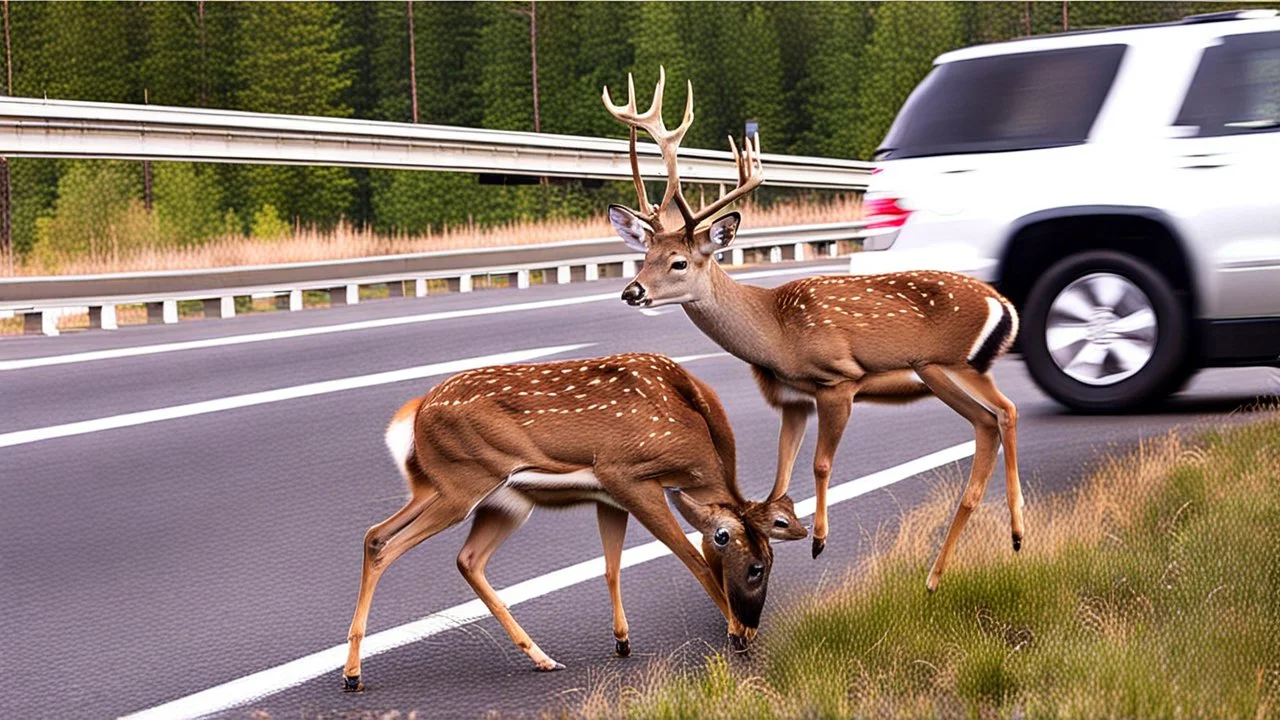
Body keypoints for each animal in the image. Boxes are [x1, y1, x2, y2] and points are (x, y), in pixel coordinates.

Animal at [340, 351, 798, 691]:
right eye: (757, 568)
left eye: (770, 562)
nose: (752, 627)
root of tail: (414, 414)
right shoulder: (627, 474)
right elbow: (694, 560)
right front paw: (735, 635)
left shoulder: (609, 497)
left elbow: (612, 566)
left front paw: (622, 641)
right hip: (462, 483)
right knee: (386, 543)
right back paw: (352, 675)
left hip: (474, 496)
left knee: (429, 548)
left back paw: (541, 657)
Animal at [604, 70, 1024, 591]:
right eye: (645, 256)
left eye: (678, 261)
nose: (632, 292)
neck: (776, 332)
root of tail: (1003, 305)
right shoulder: (792, 399)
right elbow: (780, 476)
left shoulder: (838, 379)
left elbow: (820, 463)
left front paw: (820, 540)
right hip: (952, 372)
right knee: (993, 420)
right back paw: (961, 562)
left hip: (946, 364)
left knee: (1003, 413)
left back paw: (999, 540)